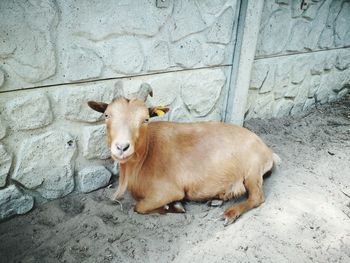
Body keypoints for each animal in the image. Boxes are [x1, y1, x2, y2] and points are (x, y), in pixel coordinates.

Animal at [89, 83, 280, 226]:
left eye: (145, 119)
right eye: (107, 115)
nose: (122, 147)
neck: (146, 155)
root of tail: (268, 152)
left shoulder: (168, 191)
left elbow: (139, 207)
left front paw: (174, 207)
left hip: (252, 171)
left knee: (257, 197)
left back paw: (229, 213)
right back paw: (218, 198)